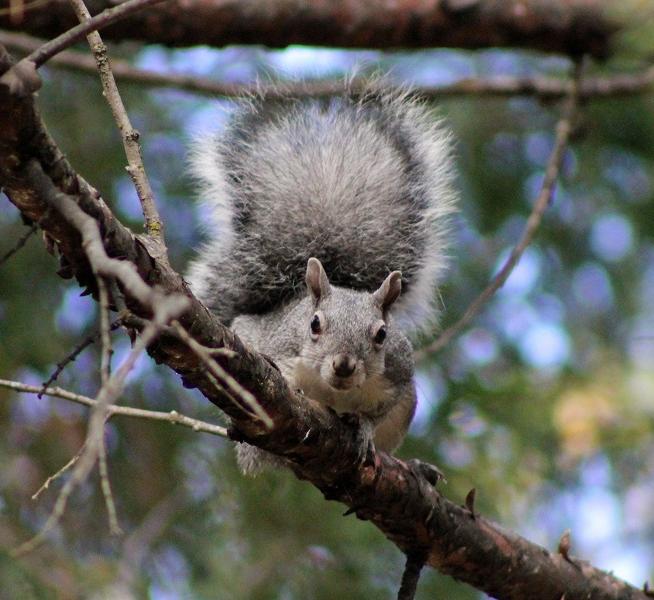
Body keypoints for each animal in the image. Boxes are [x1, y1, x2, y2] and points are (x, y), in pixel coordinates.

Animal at [187, 78, 458, 474]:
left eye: (382, 334)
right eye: (314, 324)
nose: (343, 365)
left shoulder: (399, 377)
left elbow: (376, 414)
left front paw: (364, 430)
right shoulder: (275, 345)